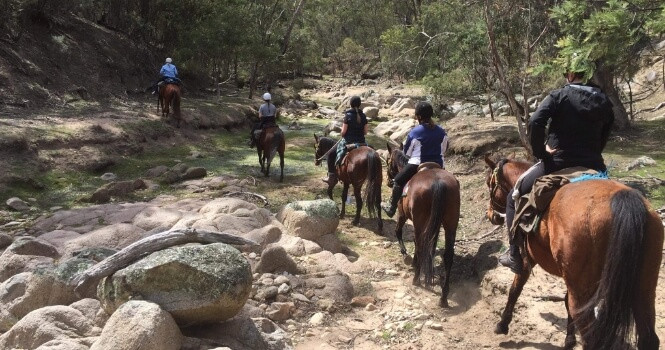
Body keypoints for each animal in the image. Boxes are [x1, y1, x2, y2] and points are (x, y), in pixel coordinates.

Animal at [386, 142, 460, 306]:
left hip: (419, 221)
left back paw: (416, 279)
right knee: (448, 255)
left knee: (419, 244)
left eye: (388, 160)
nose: (388, 181)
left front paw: (407, 256)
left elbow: (398, 231)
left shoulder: (402, 214)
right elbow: (431, 245)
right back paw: (443, 297)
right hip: (450, 223)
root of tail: (438, 182)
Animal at [482, 157, 664, 350]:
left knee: (590, 335)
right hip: (643, 288)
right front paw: (569, 339)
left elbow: (515, 289)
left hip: (584, 291)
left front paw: (502, 324)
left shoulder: (527, 260)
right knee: (648, 338)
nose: (491, 215)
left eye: (489, 183)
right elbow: (565, 301)